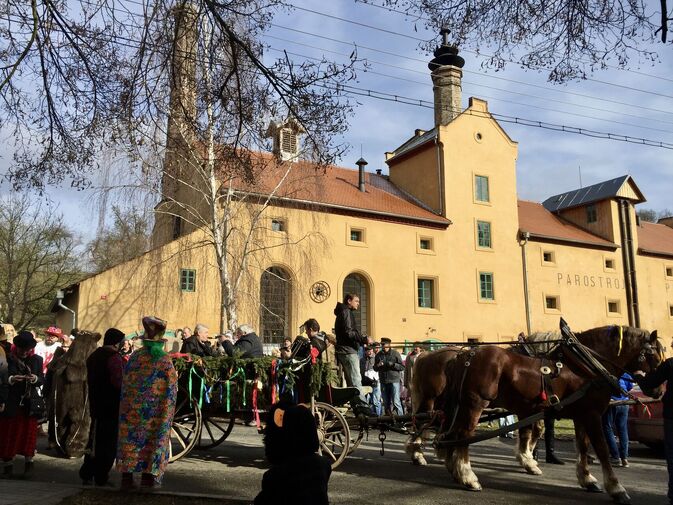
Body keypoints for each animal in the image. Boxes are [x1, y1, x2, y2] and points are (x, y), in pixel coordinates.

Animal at [436, 324, 660, 502]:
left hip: (461, 406)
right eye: (654, 355)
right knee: (463, 436)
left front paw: (586, 478)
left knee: (452, 434)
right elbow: (602, 448)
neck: (584, 366)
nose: (658, 390)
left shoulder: (580, 414)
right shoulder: (593, 414)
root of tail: (463, 356)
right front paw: (616, 488)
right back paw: (468, 476)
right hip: (475, 403)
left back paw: (455, 470)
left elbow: (582, 446)